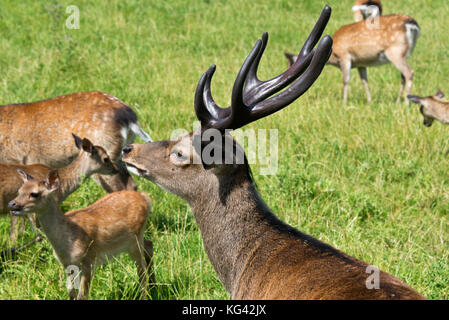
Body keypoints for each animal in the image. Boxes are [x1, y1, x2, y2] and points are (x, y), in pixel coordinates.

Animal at [8, 172, 154, 300]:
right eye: (19, 191)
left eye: (34, 194)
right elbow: (70, 290)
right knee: (149, 245)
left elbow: (82, 295)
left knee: (142, 271)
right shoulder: (67, 263)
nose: (11, 204)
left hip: (134, 240)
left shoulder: (89, 258)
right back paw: (154, 286)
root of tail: (145, 198)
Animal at [286, 14, 418, 104]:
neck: (333, 53)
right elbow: (364, 80)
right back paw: (398, 100)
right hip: (404, 53)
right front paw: (369, 101)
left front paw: (344, 102)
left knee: (409, 72)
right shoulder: (361, 63)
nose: (291, 87)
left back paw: (406, 103)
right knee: (403, 75)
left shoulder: (345, 56)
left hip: (395, 52)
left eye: (293, 67)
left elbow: (345, 80)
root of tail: (412, 24)